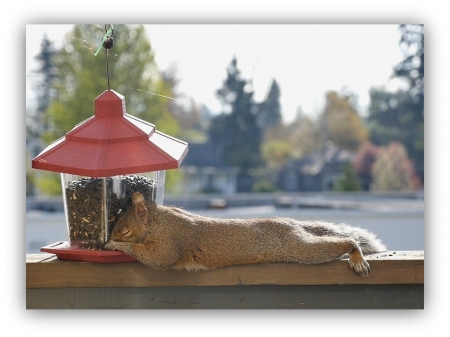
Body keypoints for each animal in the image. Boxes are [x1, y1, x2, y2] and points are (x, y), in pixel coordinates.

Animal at [104, 192, 386, 276]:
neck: (159, 221)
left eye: (125, 229)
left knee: (336, 244)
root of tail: (292, 223)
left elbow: (157, 259)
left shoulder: (172, 241)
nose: (110, 237)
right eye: (114, 219)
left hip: (300, 247)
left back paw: (356, 256)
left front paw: (116, 246)